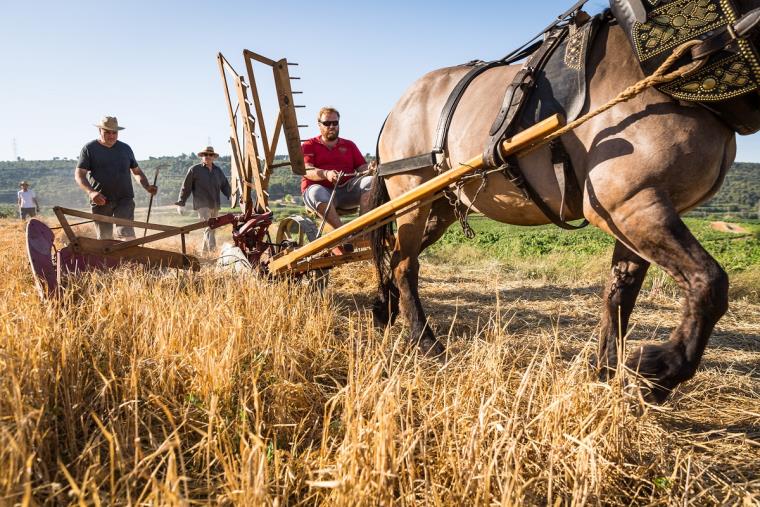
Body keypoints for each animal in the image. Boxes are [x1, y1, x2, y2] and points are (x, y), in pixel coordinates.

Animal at [370, 0, 760, 404]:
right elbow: (709, 283)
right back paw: (425, 341)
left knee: (394, 255)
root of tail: (398, 107)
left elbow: (620, 293)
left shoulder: (637, 209)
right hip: (411, 195)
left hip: (442, 205)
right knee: (404, 264)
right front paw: (659, 371)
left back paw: (385, 309)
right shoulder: (630, 201)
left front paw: (606, 370)